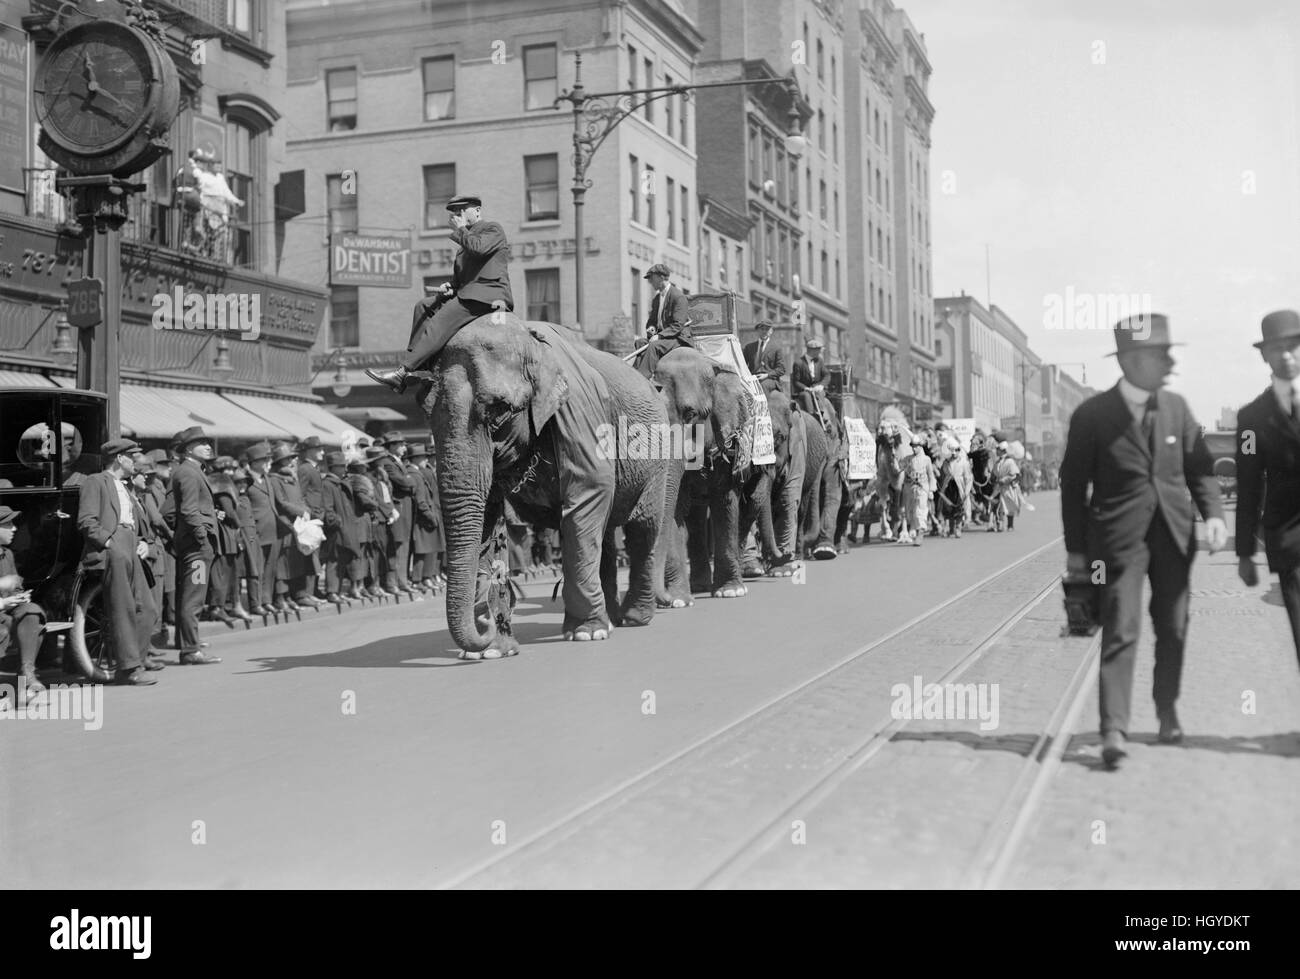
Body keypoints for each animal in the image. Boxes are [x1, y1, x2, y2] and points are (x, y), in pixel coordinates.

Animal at [421, 317, 670, 660]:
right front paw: (491, 652)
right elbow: (485, 517)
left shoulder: (579, 414)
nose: (488, 624)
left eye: (499, 410)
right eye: (427, 413)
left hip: (658, 457)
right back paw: (611, 619)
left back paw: (634, 618)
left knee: (641, 529)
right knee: (606, 534)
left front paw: (586, 633)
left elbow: (588, 490)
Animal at [655, 343, 759, 603]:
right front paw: (679, 600)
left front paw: (731, 592)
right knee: (696, 517)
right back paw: (699, 586)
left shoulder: (728, 445)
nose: (664, 599)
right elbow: (676, 507)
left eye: (691, 414)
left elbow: (725, 502)